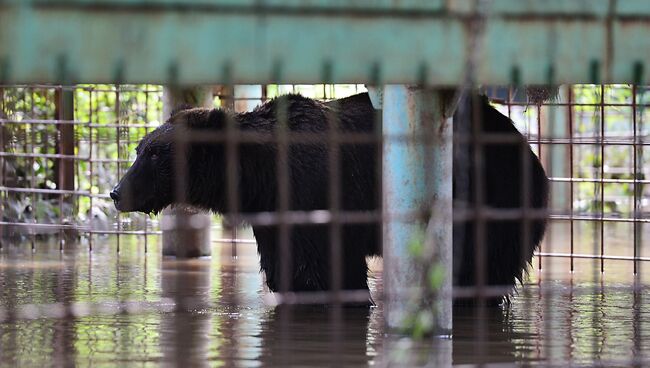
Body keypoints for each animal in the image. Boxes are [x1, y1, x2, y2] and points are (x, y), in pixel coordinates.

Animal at [110, 91, 548, 304]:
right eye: (139, 149)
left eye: (154, 154)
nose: (116, 192)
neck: (259, 174)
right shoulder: (274, 212)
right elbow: (288, 268)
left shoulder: (315, 192)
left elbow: (324, 269)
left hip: (496, 194)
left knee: (481, 264)